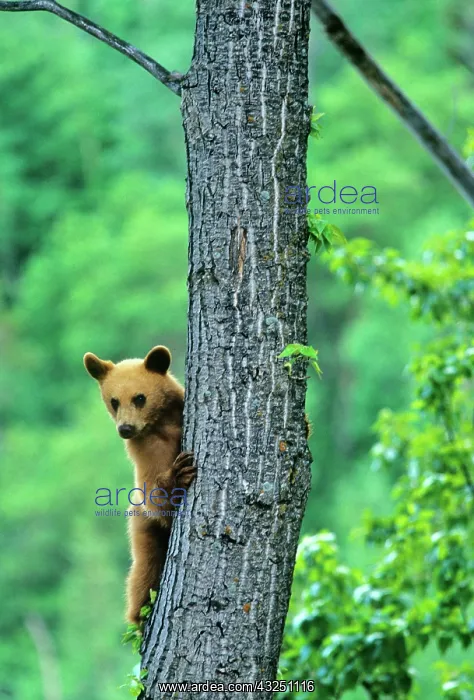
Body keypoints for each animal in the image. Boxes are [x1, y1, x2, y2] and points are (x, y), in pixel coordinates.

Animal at [83, 345, 196, 625]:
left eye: (140, 397)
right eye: (114, 401)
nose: (125, 428)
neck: (163, 423)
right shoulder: (147, 451)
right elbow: (154, 494)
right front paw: (179, 474)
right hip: (143, 527)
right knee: (143, 572)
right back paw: (141, 614)